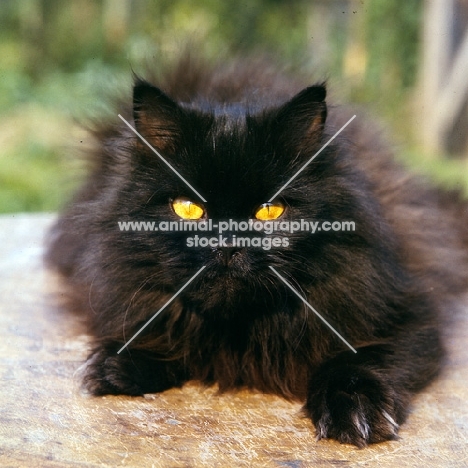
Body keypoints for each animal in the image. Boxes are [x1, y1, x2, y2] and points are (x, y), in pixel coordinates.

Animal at [46, 56, 468, 448]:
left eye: (270, 211)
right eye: (187, 209)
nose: (228, 243)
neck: (241, 331)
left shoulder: (410, 315)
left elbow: (362, 359)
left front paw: (355, 408)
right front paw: (118, 364)